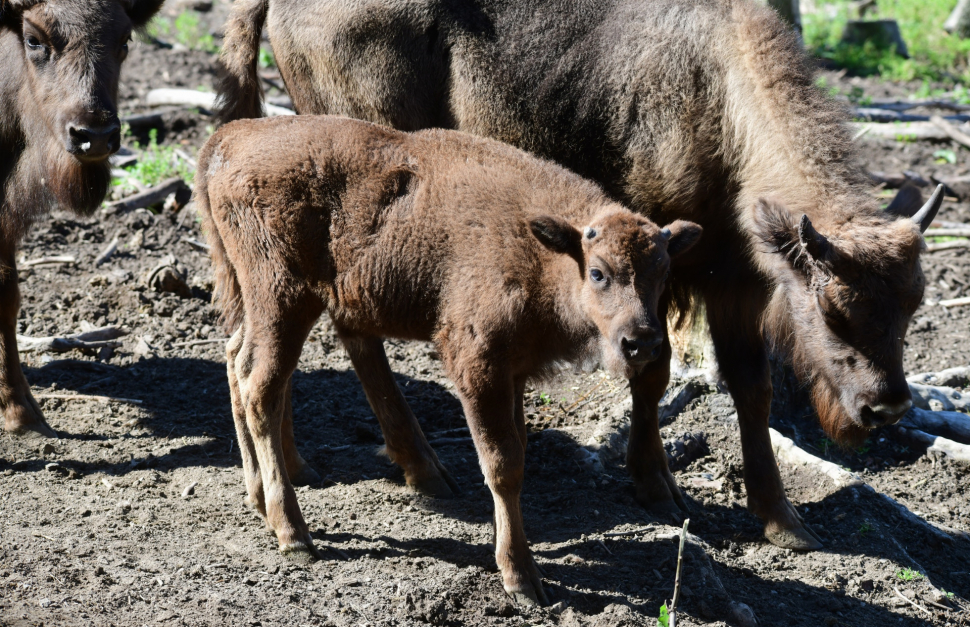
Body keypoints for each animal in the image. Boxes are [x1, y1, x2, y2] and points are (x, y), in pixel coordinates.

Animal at [197, 115, 700, 604]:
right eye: (598, 273)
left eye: (663, 272)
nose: (642, 343)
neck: (544, 251)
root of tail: (230, 138)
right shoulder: (478, 367)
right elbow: (503, 465)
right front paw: (520, 578)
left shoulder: (513, 372)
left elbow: (516, 451)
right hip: (282, 299)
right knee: (261, 387)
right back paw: (293, 533)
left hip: (267, 306)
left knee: (238, 361)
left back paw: (262, 497)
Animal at [217, 0, 936, 548]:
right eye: (833, 310)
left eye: (911, 307)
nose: (886, 407)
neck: (714, 93)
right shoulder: (658, 278)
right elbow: (653, 372)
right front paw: (657, 487)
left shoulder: (735, 284)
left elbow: (751, 390)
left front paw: (783, 521)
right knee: (355, 334)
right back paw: (425, 473)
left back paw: (315, 467)